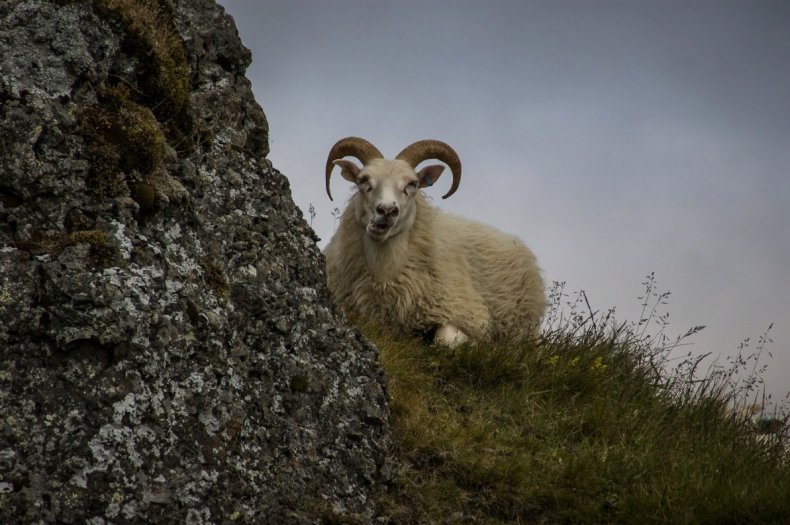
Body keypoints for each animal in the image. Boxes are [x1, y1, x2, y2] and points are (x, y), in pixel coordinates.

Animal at [324, 137, 548, 346]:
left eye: (412, 184)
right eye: (363, 180)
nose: (387, 211)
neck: (384, 275)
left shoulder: (468, 313)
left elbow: (446, 338)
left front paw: (472, 343)